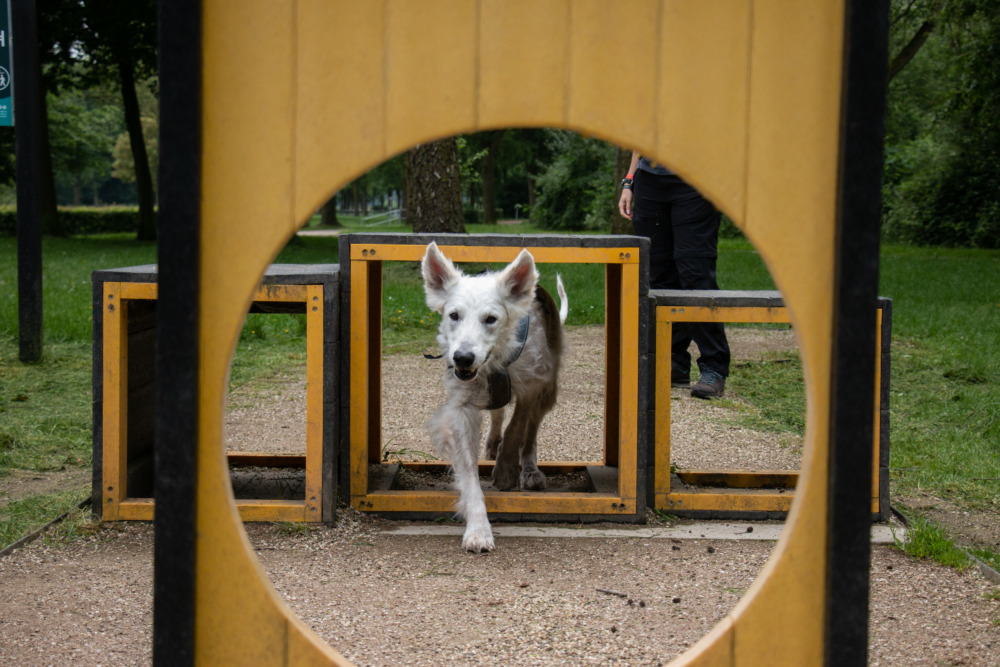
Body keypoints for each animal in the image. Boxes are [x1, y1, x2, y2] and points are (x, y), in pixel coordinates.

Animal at [418, 244, 568, 552]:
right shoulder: (462, 407)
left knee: (530, 432)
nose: (463, 357)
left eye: (491, 319)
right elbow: (469, 473)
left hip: (548, 390)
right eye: (454, 315)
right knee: (498, 412)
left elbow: (517, 428)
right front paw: (478, 529)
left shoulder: (533, 386)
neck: (495, 360)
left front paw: (506, 470)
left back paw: (529, 470)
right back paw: (491, 444)